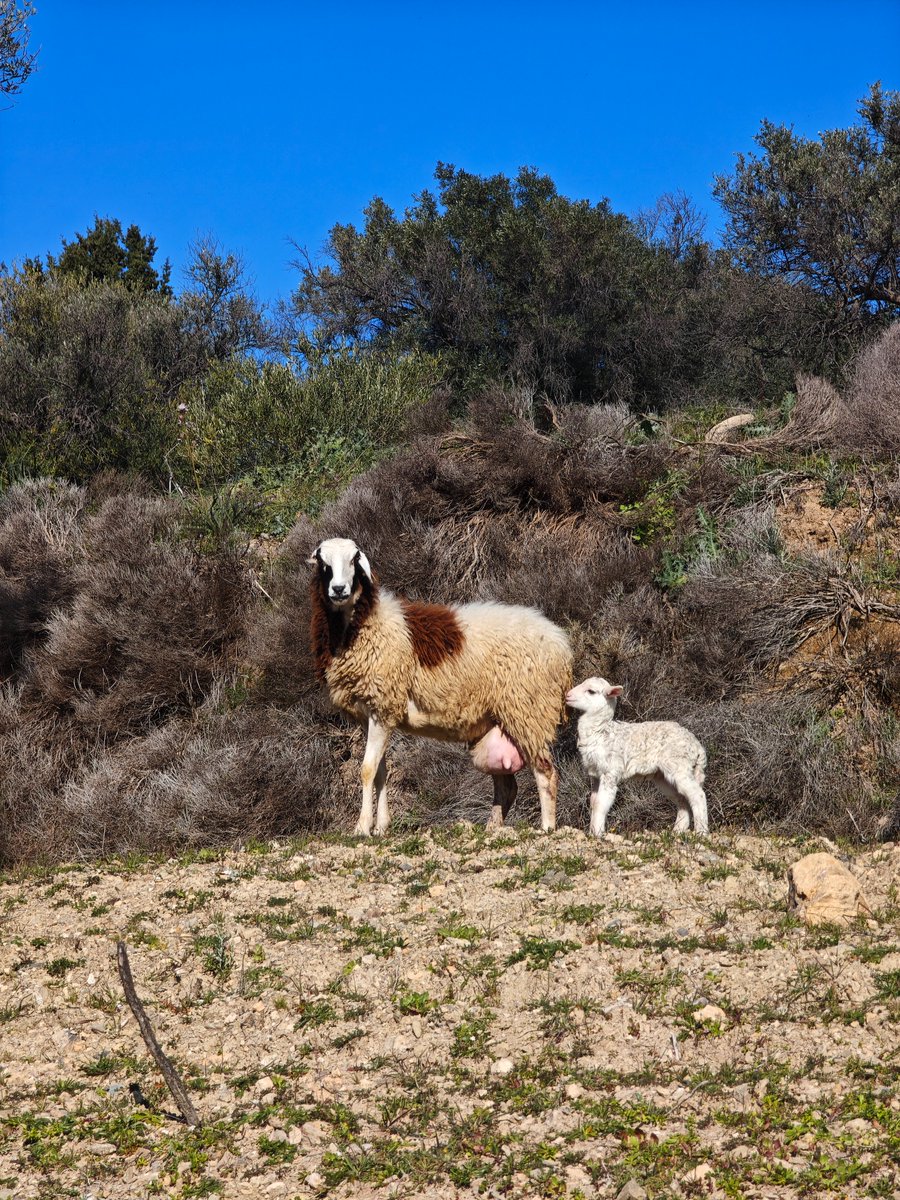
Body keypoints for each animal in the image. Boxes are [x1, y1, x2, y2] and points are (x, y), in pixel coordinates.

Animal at [308, 537, 573, 836]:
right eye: (323, 561)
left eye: (354, 559)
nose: (338, 589)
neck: (365, 624)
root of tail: (561, 643)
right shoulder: (371, 714)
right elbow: (380, 771)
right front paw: (382, 827)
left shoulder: (384, 706)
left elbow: (366, 769)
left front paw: (362, 827)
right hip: (501, 722)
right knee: (507, 786)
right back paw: (492, 828)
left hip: (529, 710)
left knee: (546, 773)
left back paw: (547, 828)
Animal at [566, 676, 708, 837]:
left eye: (591, 691)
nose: (568, 695)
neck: (600, 731)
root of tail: (697, 747)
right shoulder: (596, 774)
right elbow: (593, 802)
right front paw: (592, 832)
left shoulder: (610, 772)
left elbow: (601, 804)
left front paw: (597, 834)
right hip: (664, 776)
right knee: (682, 799)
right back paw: (677, 831)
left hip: (679, 766)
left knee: (698, 795)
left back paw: (701, 832)